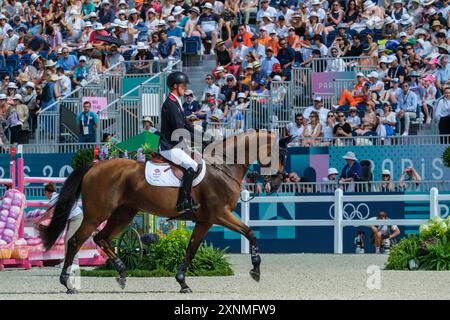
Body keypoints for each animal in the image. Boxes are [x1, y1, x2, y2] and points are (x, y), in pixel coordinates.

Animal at [39, 129, 284, 292]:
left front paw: (182, 281)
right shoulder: (219, 214)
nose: (277, 184)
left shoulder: (205, 220)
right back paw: (68, 283)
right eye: (280, 156)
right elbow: (250, 233)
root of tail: (95, 165)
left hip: (123, 214)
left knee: (102, 238)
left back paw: (122, 273)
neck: (223, 167)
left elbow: (191, 248)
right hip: (96, 214)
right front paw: (255, 270)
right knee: (76, 241)